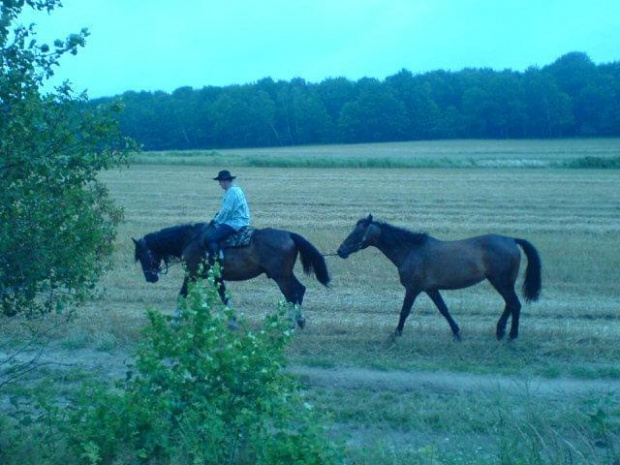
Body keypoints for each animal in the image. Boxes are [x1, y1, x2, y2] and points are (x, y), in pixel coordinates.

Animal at [133, 224, 332, 326]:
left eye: (143, 255)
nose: (150, 277)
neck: (190, 240)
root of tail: (289, 235)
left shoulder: (191, 275)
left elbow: (182, 294)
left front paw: (175, 320)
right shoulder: (216, 277)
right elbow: (224, 296)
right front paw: (232, 320)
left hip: (280, 276)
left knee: (292, 294)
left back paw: (292, 323)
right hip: (284, 274)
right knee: (299, 290)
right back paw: (298, 320)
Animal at [336, 215, 540, 340]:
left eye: (357, 232)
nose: (340, 251)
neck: (411, 250)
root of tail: (511, 240)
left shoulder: (413, 289)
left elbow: (404, 311)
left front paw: (395, 334)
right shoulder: (431, 289)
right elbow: (444, 310)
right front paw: (457, 333)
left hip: (501, 282)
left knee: (515, 304)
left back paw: (511, 335)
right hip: (501, 282)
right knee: (510, 304)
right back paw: (500, 331)